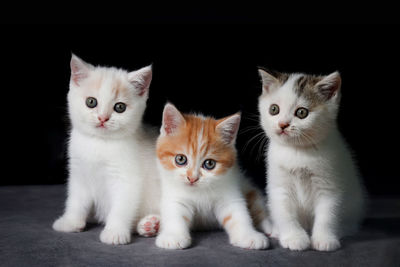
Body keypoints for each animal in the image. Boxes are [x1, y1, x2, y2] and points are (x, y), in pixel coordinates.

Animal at [52, 55, 161, 246]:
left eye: (120, 107)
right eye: (91, 102)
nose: (103, 118)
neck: (100, 143)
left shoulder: (127, 179)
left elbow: (121, 207)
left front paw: (115, 233)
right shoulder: (79, 174)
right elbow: (76, 200)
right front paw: (70, 222)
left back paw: (153, 224)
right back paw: (148, 226)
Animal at [155, 104, 270, 251]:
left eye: (209, 164)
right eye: (180, 159)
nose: (192, 178)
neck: (199, 191)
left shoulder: (230, 192)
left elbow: (238, 214)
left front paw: (249, 236)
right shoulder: (175, 195)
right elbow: (174, 213)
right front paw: (173, 236)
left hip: (248, 188)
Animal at [258, 68, 364, 251]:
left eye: (302, 112)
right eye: (274, 109)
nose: (282, 124)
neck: (298, 152)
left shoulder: (329, 185)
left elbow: (328, 214)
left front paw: (324, 239)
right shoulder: (279, 184)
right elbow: (284, 212)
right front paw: (294, 238)